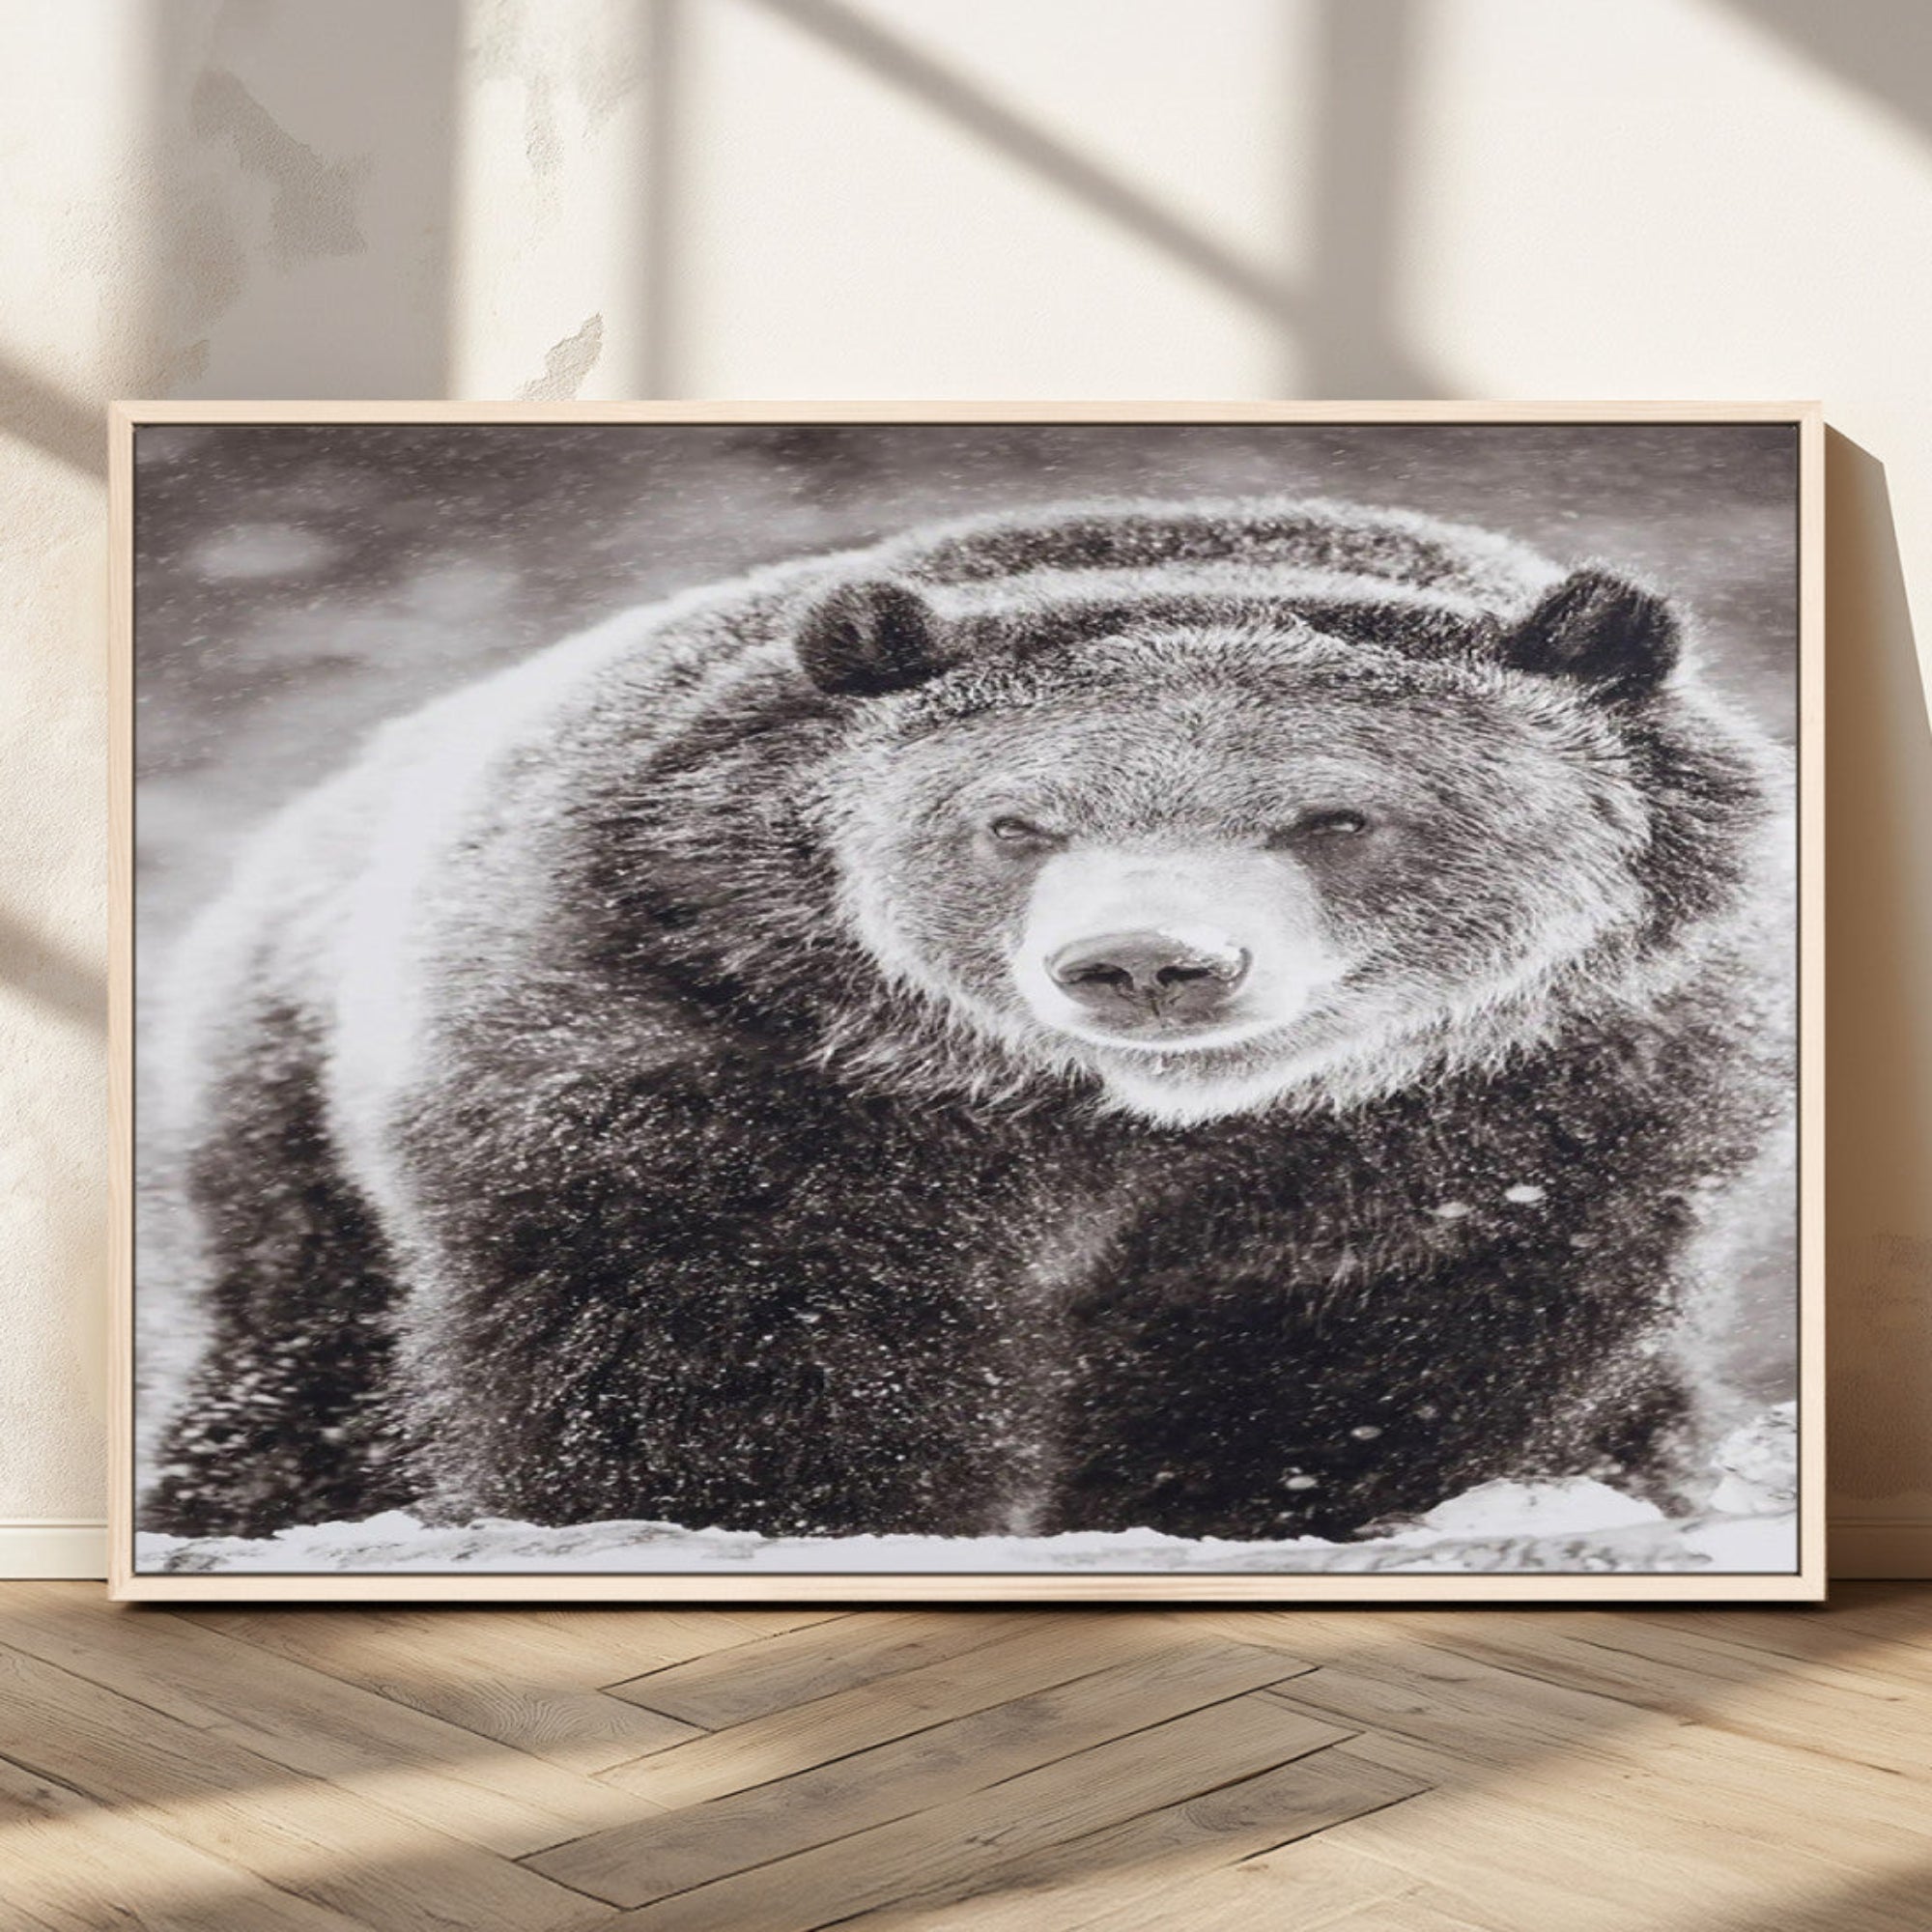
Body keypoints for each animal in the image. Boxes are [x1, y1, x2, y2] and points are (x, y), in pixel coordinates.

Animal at [142, 495, 1794, 1547]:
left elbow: (1377, 1354)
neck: (1120, 1125)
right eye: (1018, 821)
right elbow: (723, 1328)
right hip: (287, 1107)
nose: (1147, 963)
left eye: (1336, 815)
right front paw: (775, 1506)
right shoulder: (707, 1036)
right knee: (305, 1358)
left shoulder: (1528, 1104)